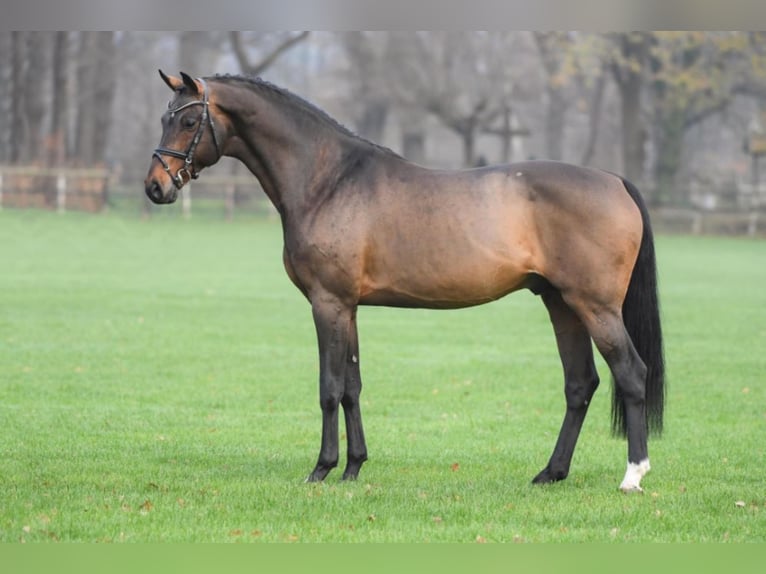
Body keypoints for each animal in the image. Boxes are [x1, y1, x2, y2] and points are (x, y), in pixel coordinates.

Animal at [144, 71, 664, 496]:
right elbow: (352, 386)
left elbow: (329, 386)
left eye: (187, 121)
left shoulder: (327, 303)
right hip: (561, 304)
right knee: (580, 384)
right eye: (166, 117)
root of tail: (614, 180)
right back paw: (550, 473)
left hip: (595, 306)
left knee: (631, 374)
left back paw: (633, 475)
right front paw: (353, 468)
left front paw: (321, 469)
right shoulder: (349, 307)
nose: (155, 186)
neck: (329, 180)